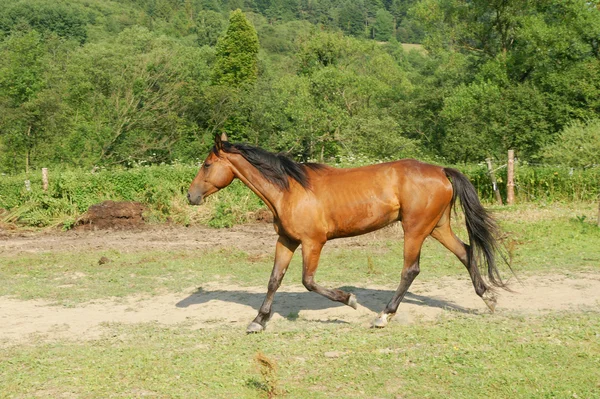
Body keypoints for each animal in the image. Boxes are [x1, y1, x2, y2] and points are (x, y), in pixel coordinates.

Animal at [188, 134, 506, 334]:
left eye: (206, 164)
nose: (191, 196)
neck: (289, 190)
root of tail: (441, 170)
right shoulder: (286, 240)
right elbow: (274, 280)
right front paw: (258, 321)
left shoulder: (313, 242)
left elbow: (308, 282)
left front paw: (350, 300)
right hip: (437, 226)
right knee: (466, 252)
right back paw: (489, 299)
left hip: (415, 229)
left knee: (411, 270)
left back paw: (382, 316)